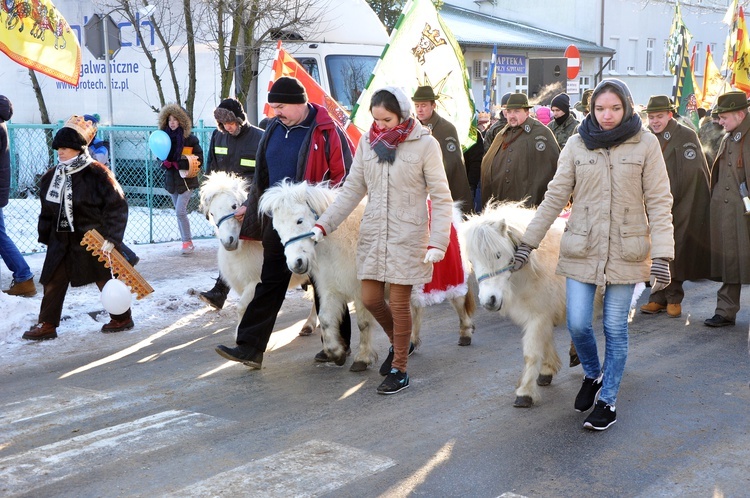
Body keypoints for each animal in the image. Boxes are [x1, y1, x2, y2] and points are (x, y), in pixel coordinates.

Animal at [260, 181, 476, 372]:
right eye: (277, 229)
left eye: (299, 220)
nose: (296, 264)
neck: (340, 243)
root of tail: (452, 211)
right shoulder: (331, 290)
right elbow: (326, 320)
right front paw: (336, 353)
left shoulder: (360, 291)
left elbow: (363, 325)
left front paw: (362, 359)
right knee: (415, 311)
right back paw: (412, 343)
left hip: (450, 278)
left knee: (458, 301)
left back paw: (465, 332)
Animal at [464, 201, 604, 408]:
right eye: (472, 260)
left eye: (498, 254)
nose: (490, 300)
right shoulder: (540, 315)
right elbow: (544, 343)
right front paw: (546, 370)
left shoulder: (539, 315)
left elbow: (531, 352)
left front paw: (525, 393)